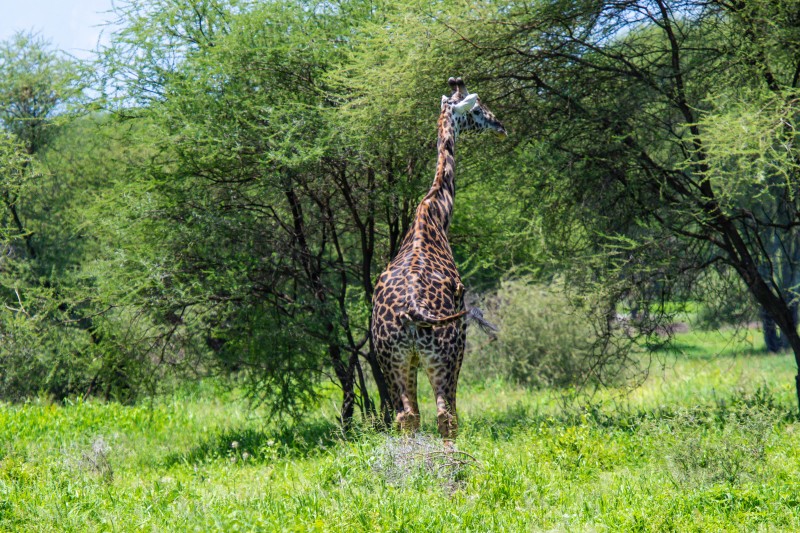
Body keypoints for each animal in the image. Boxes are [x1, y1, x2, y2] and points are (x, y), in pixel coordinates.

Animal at [370, 76, 506, 440]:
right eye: (477, 109)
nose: (500, 126)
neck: (435, 212)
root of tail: (414, 312)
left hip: (393, 359)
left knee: (406, 416)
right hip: (447, 354)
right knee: (447, 416)